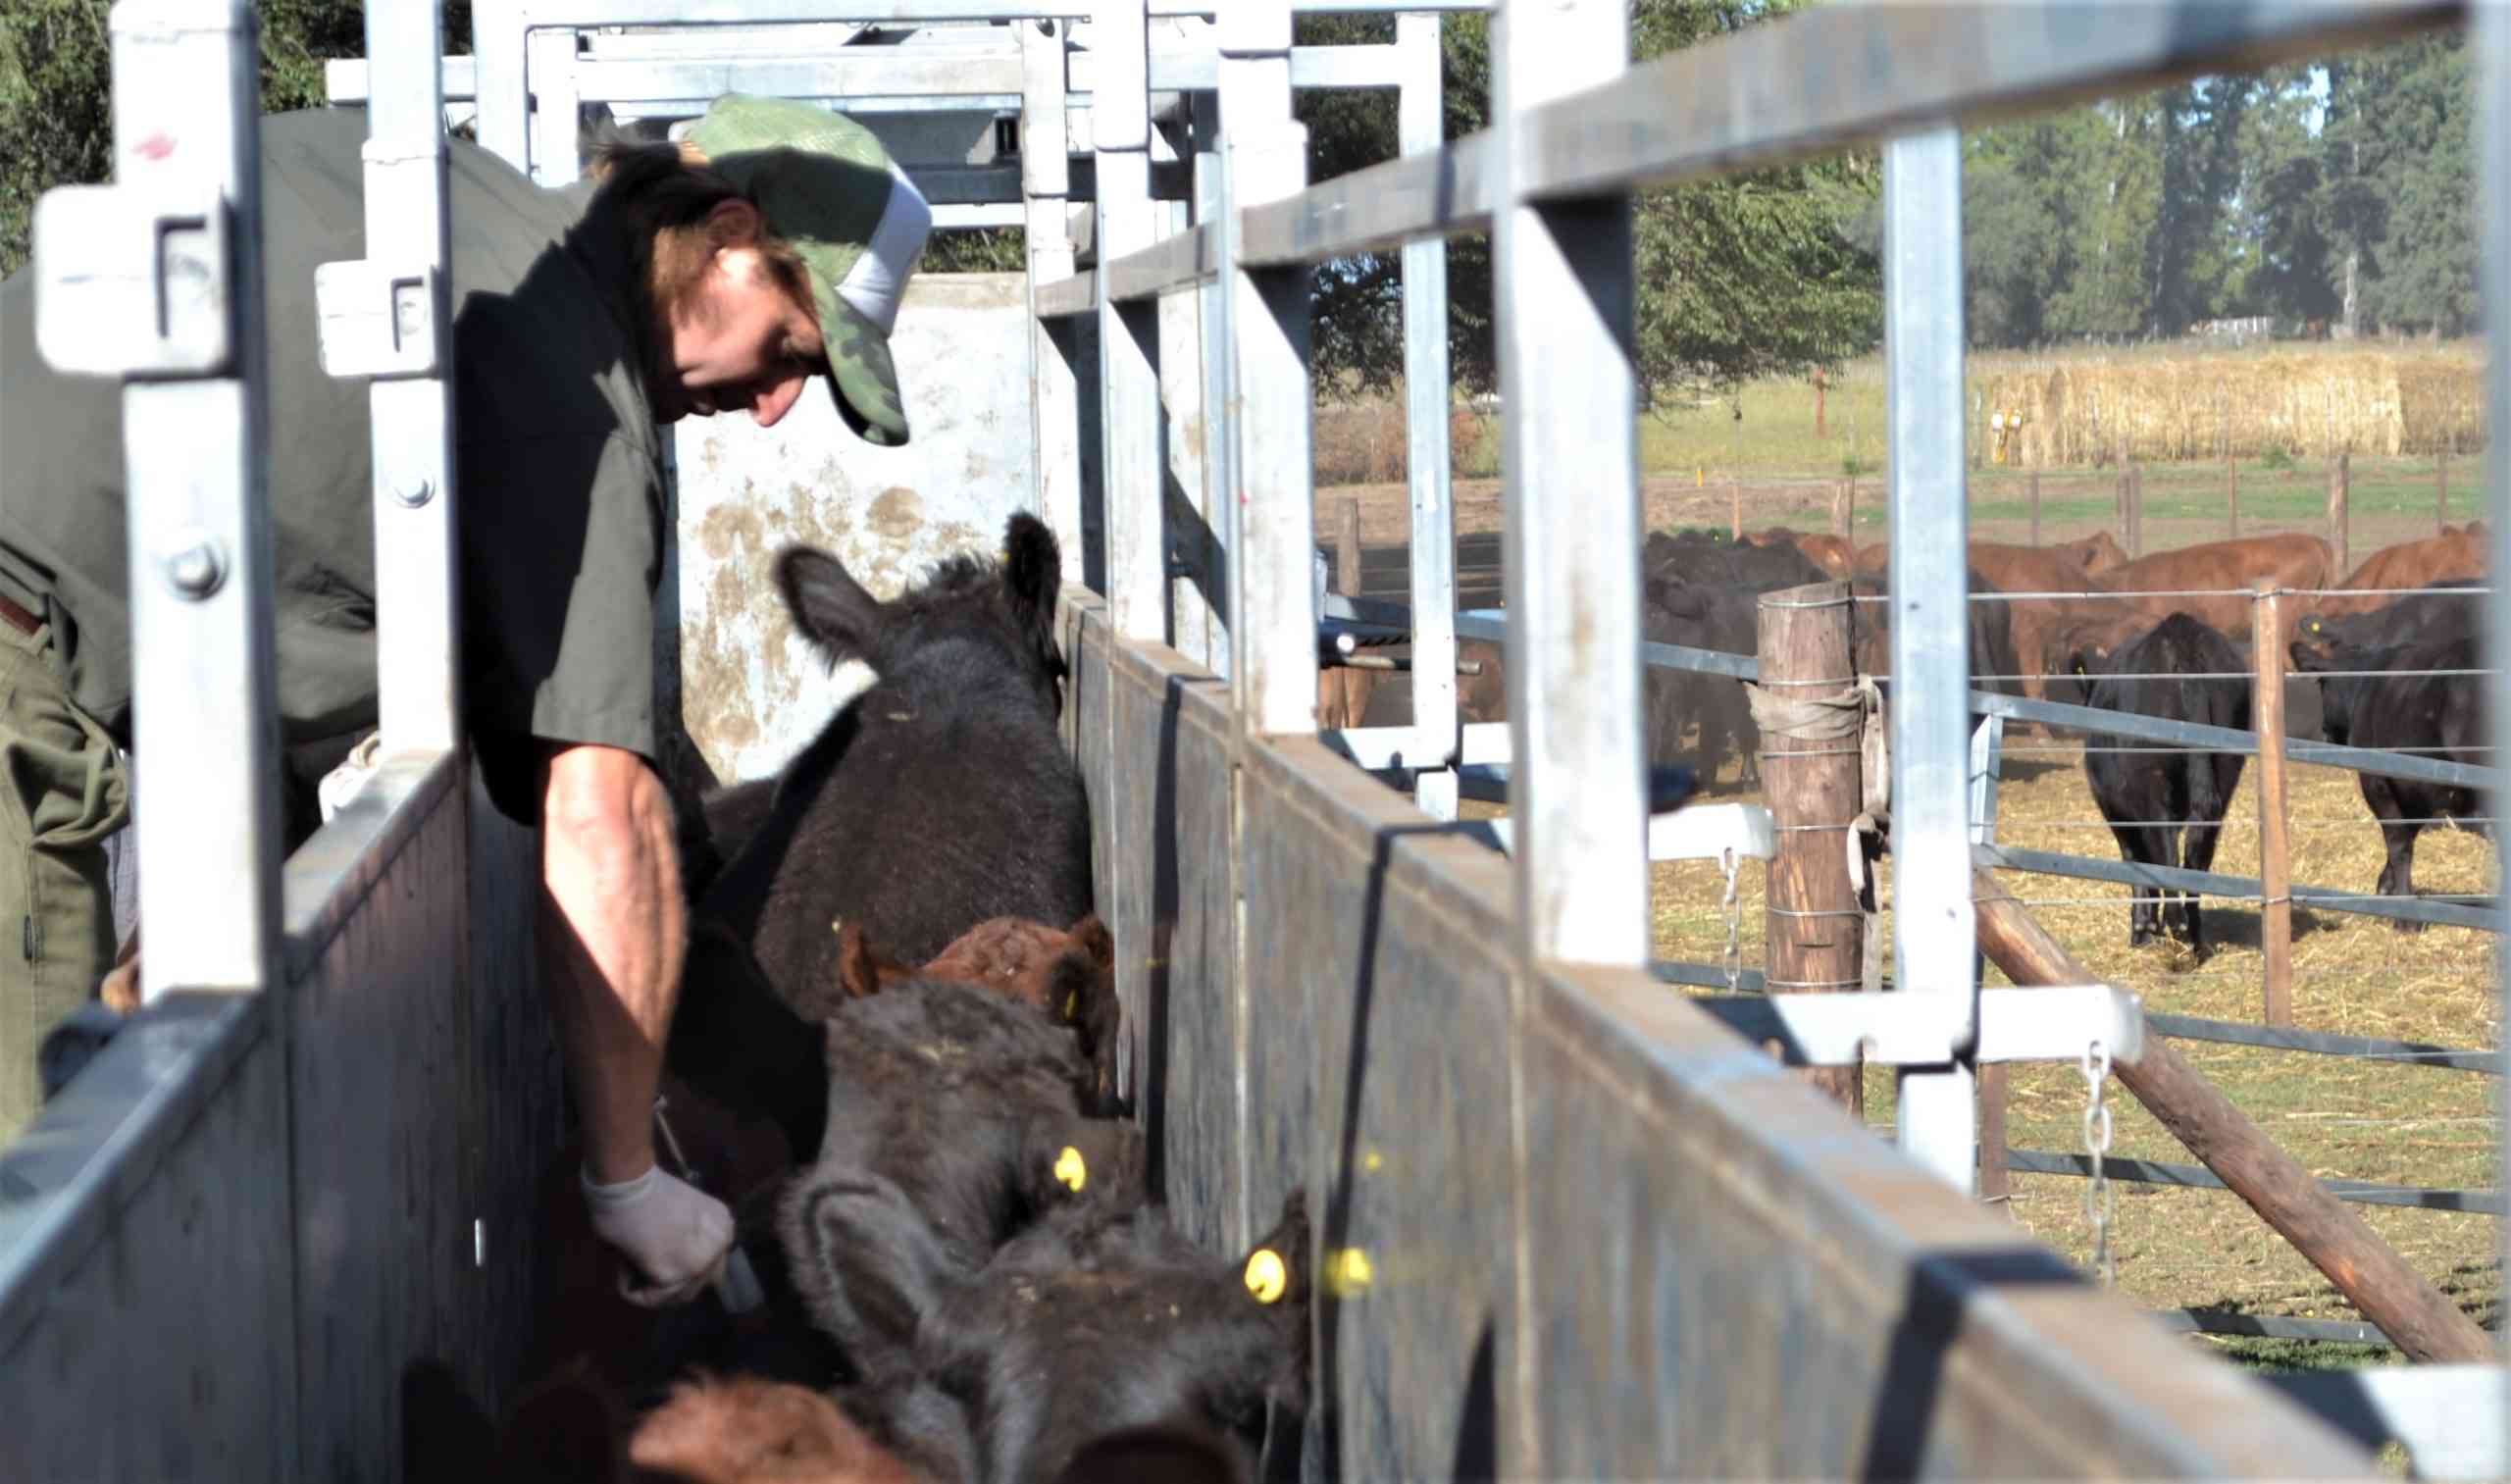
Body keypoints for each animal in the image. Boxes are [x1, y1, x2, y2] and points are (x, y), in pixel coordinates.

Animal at [2069, 610, 2249, 958]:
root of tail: (2180, 634)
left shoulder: (2116, 811)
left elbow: (2136, 862)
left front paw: (2142, 930)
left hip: (2152, 782)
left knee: (2163, 845)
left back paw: (2174, 924)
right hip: (2224, 772)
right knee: (2199, 845)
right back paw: (2194, 936)